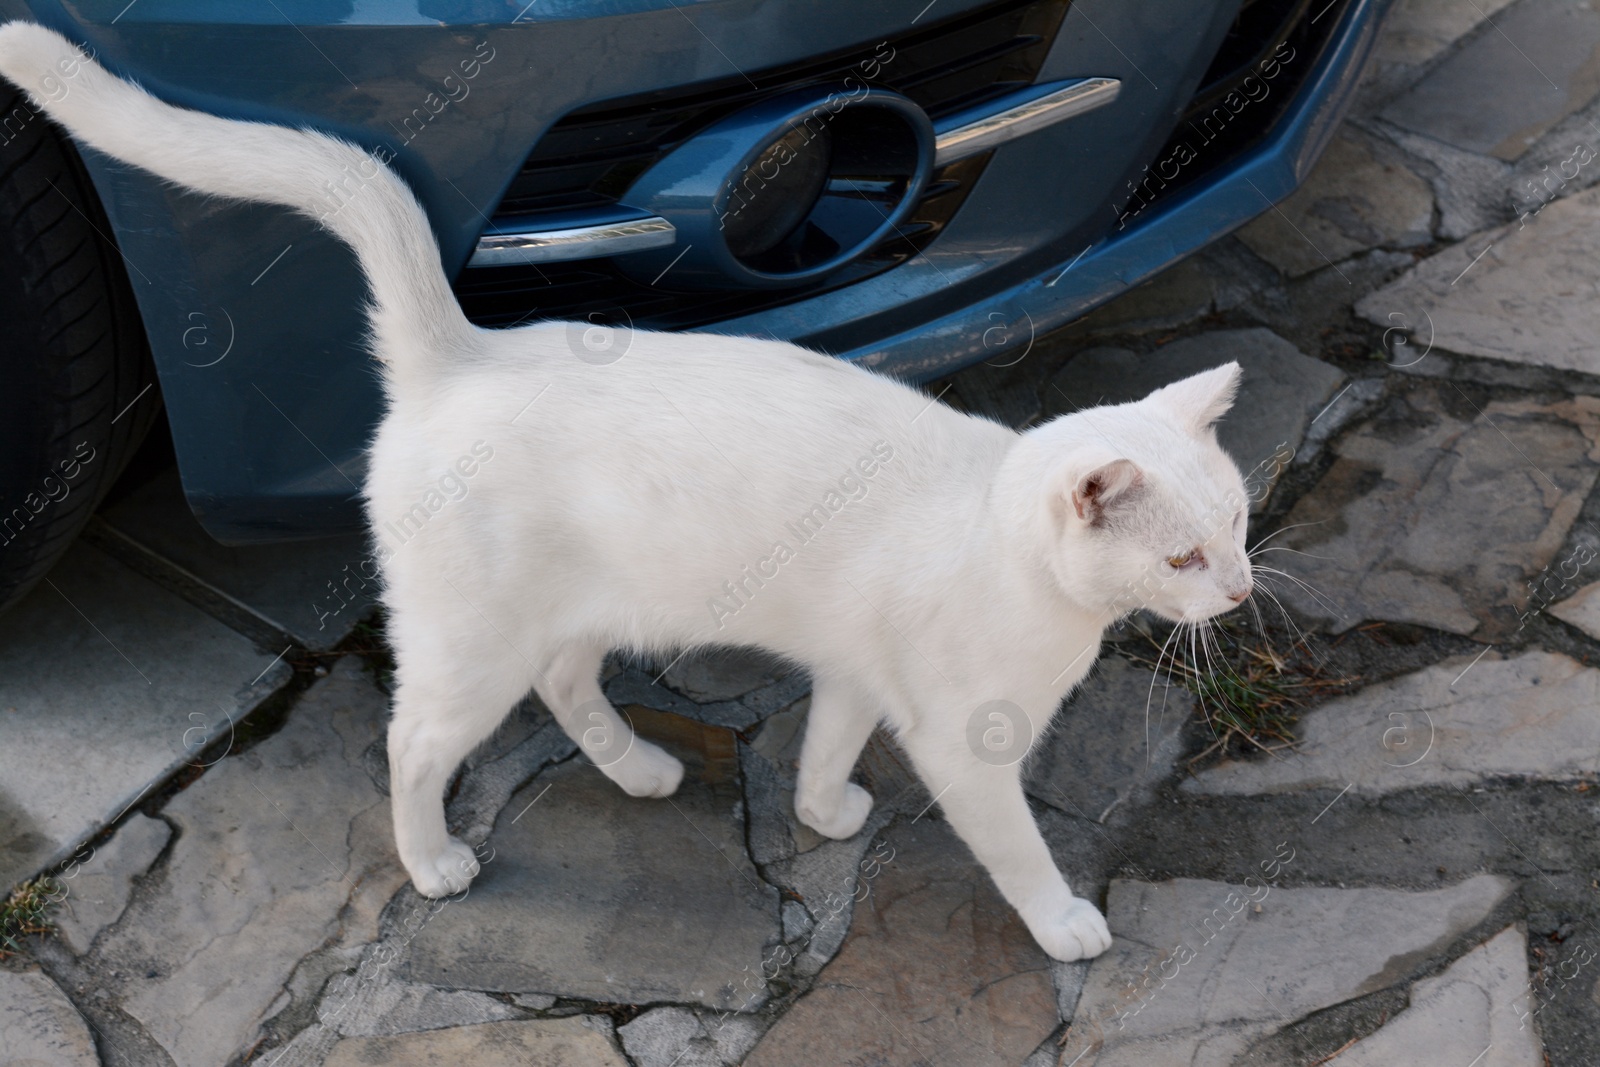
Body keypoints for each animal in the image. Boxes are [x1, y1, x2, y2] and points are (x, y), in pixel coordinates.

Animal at [0, 20, 1248, 966]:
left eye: (1234, 524)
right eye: (1183, 557)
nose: (1238, 591)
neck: (1015, 558)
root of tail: (464, 351)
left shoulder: (852, 671)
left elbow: (826, 747)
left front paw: (822, 813)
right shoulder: (965, 747)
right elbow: (1017, 847)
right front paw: (1064, 922)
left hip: (578, 605)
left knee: (564, 677)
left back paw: (639, 767)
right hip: (472, 645)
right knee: (413, 742)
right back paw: (434, 859)